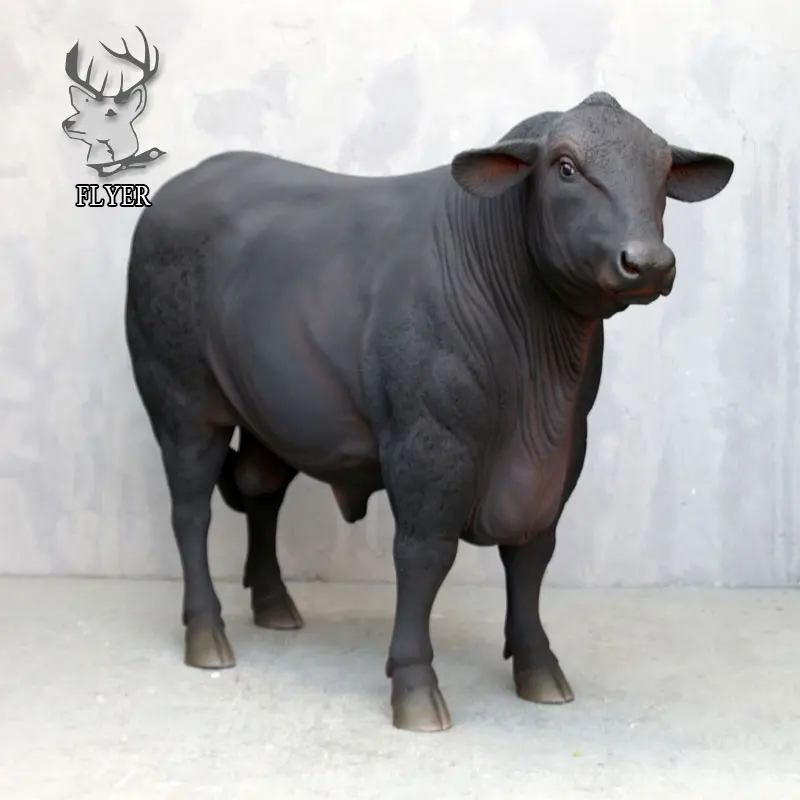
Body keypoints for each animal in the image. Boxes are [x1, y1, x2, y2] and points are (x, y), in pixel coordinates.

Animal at [124, 91, 733, 732]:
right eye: (566, 167)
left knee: (261, 492)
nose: (649, 262)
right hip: (180, 400)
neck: (540, 391)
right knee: (191, 511)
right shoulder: (429, 445)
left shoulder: (567, 450)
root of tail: (187, 182)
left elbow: (532, 558)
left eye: (662, 169)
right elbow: (424, 557)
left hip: (271, 410)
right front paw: (415, 685)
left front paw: (539, 667)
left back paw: (274, 606)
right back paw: (206, 634)